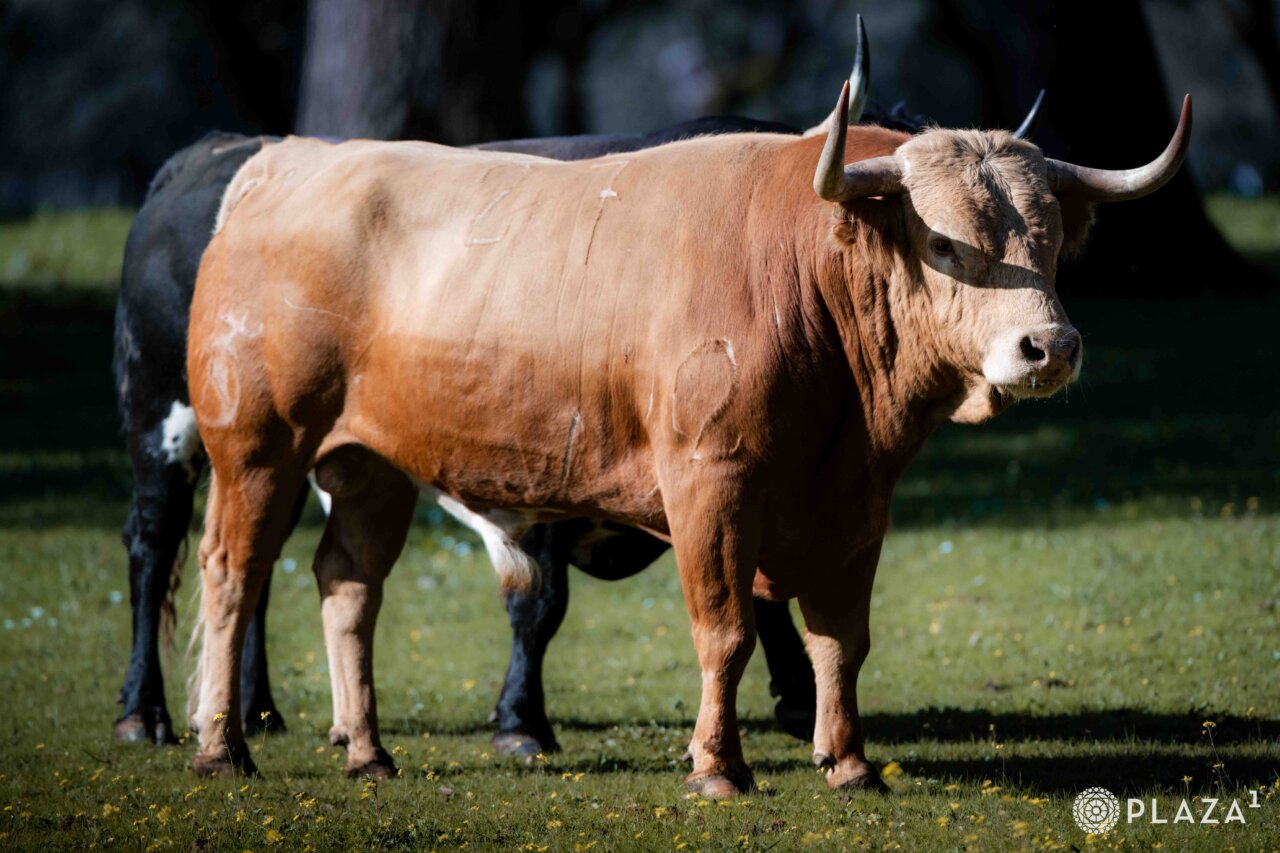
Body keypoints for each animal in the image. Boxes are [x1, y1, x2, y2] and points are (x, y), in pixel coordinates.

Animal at [182, 79, 1190, 794]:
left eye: (1052, 241)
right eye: (944, 242)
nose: (1048, 346)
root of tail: (281, 166)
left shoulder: (857, 502)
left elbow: (840, 637)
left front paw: (850, 763)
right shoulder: (711, 482)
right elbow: (727, 630)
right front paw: (719, 766)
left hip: (374, 465)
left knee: (348, 585)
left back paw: (367, 751)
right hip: (259, 445)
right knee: (233, 575)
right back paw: (221, 747)